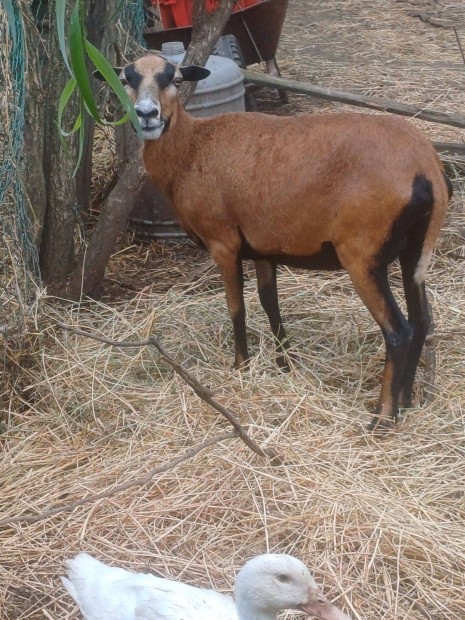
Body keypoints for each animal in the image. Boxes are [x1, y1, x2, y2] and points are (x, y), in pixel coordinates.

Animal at [98, 54, 450, 432]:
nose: (147, 115)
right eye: (126, 79)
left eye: (176, 79)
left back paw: (381, 418)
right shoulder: (262, 246)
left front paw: (240, 366)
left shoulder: (223, 242)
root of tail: (427, 168)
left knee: (399, 332)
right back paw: (407, 401)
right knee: (421, 323)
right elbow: (270, 303)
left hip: (362, 254)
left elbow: (236, 307)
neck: (192, 149)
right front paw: (285, 364)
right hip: (413, 250)